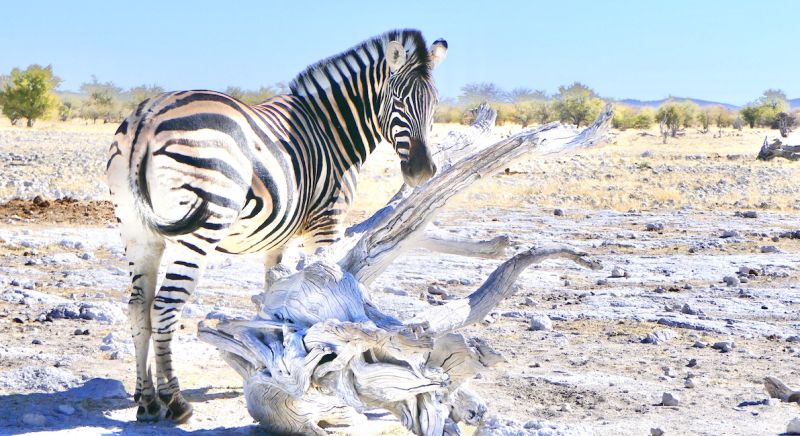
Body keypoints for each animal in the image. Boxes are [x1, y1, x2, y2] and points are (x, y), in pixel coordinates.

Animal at [104, 28, 450, 422]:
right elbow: (326, 300)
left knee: (138, 308)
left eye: (435, 104)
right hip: (200, 226)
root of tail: (147, 116)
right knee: (163, 307)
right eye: (398, 101)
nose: (422, 171)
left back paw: (146, 399)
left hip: (137, 230)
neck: (331, 130)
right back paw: (175, 401)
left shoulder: (277, 236)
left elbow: (274, 297)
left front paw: (274, 361)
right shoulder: (327, 224)